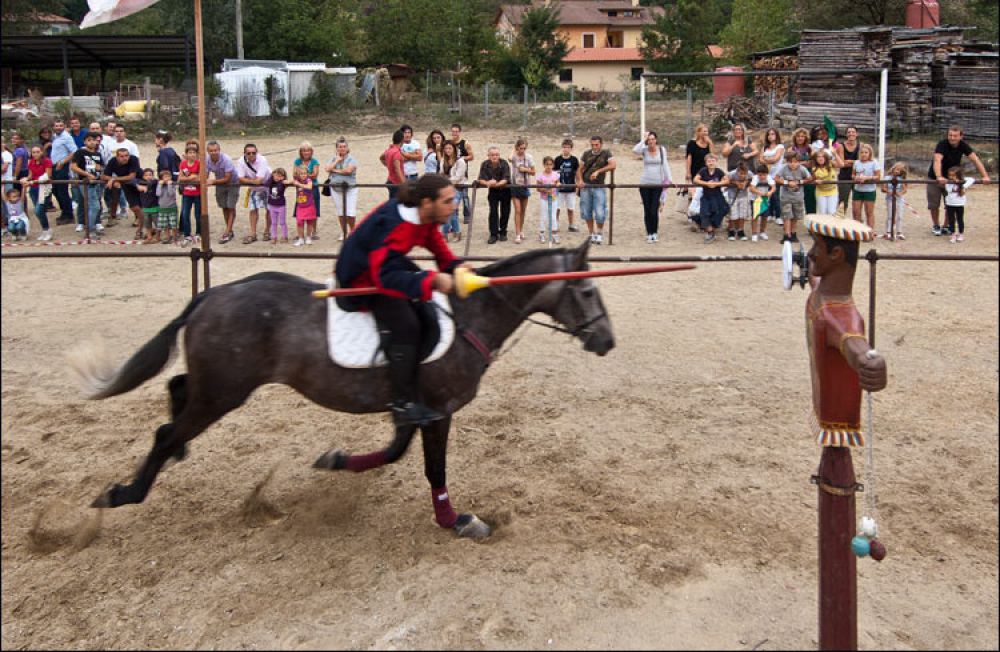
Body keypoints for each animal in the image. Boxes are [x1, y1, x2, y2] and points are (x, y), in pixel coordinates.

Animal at [70, 239, 612, 540]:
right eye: (587, 291)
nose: (607, 341)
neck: (470, 315)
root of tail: (211, 294)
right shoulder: (438, 410)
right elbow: (433, 468)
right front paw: (456, 520)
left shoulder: (410, 408)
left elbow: (393, 451)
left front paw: (336, 460)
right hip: (223, 391)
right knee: (167, 431)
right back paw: (124, 493)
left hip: (219, 384)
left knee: (178, 390)